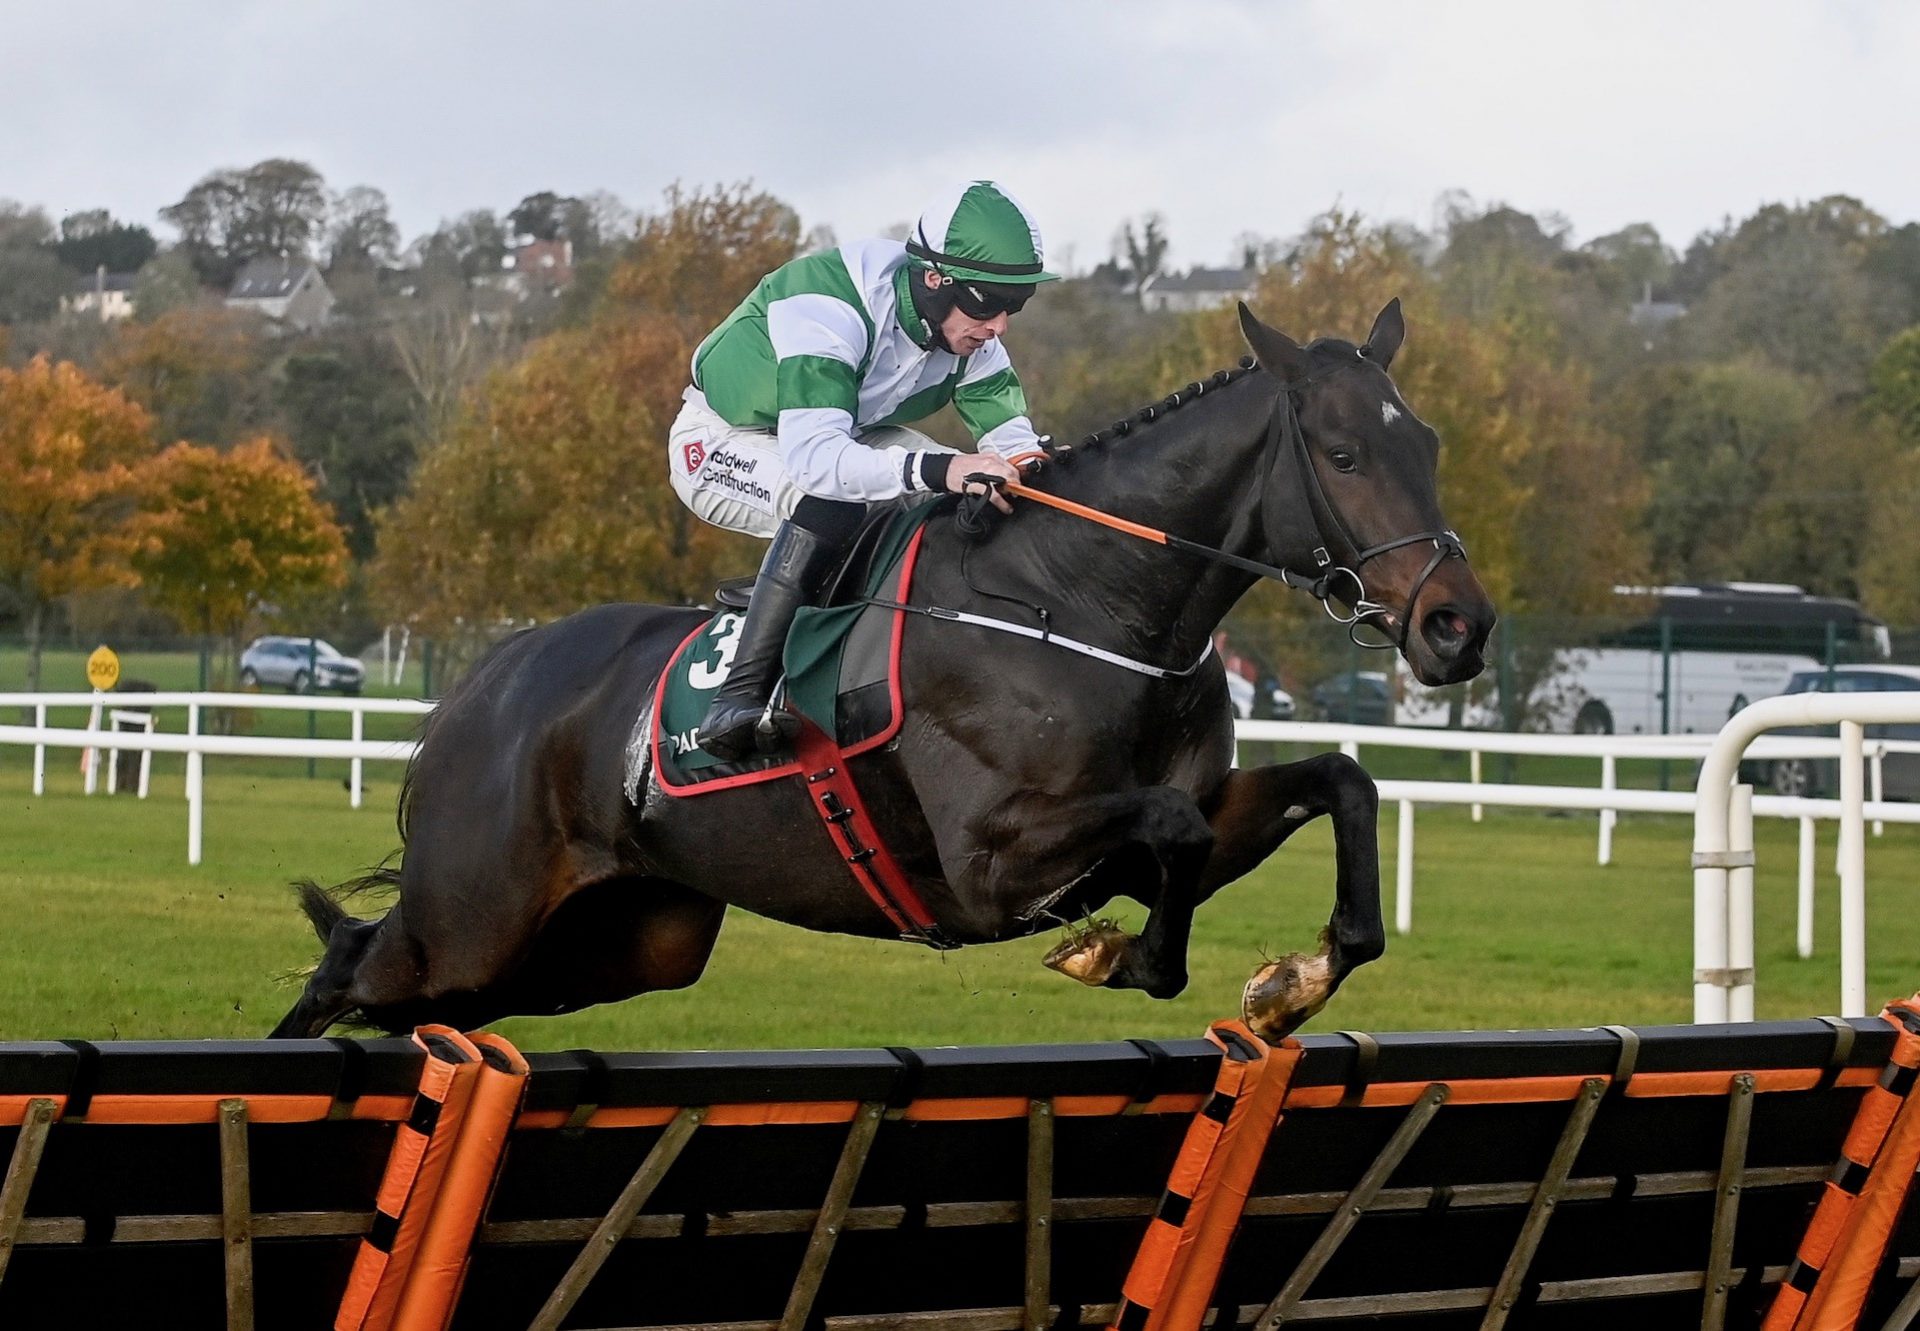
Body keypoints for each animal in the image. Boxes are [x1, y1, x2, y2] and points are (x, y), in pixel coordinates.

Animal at [274, 301, 1497, 1037]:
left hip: (616, 941)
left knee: (414, 1005)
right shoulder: (990, 860)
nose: (1459, 625)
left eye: (1428, 443)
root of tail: (480, 687)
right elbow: (1173, 832)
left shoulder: (1180, 817)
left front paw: (1299, 976)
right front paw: (1122, 959)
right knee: (350, 966)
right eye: (1343, 454)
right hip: (473, 918)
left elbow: (1335, 782)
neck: (1083, 598)